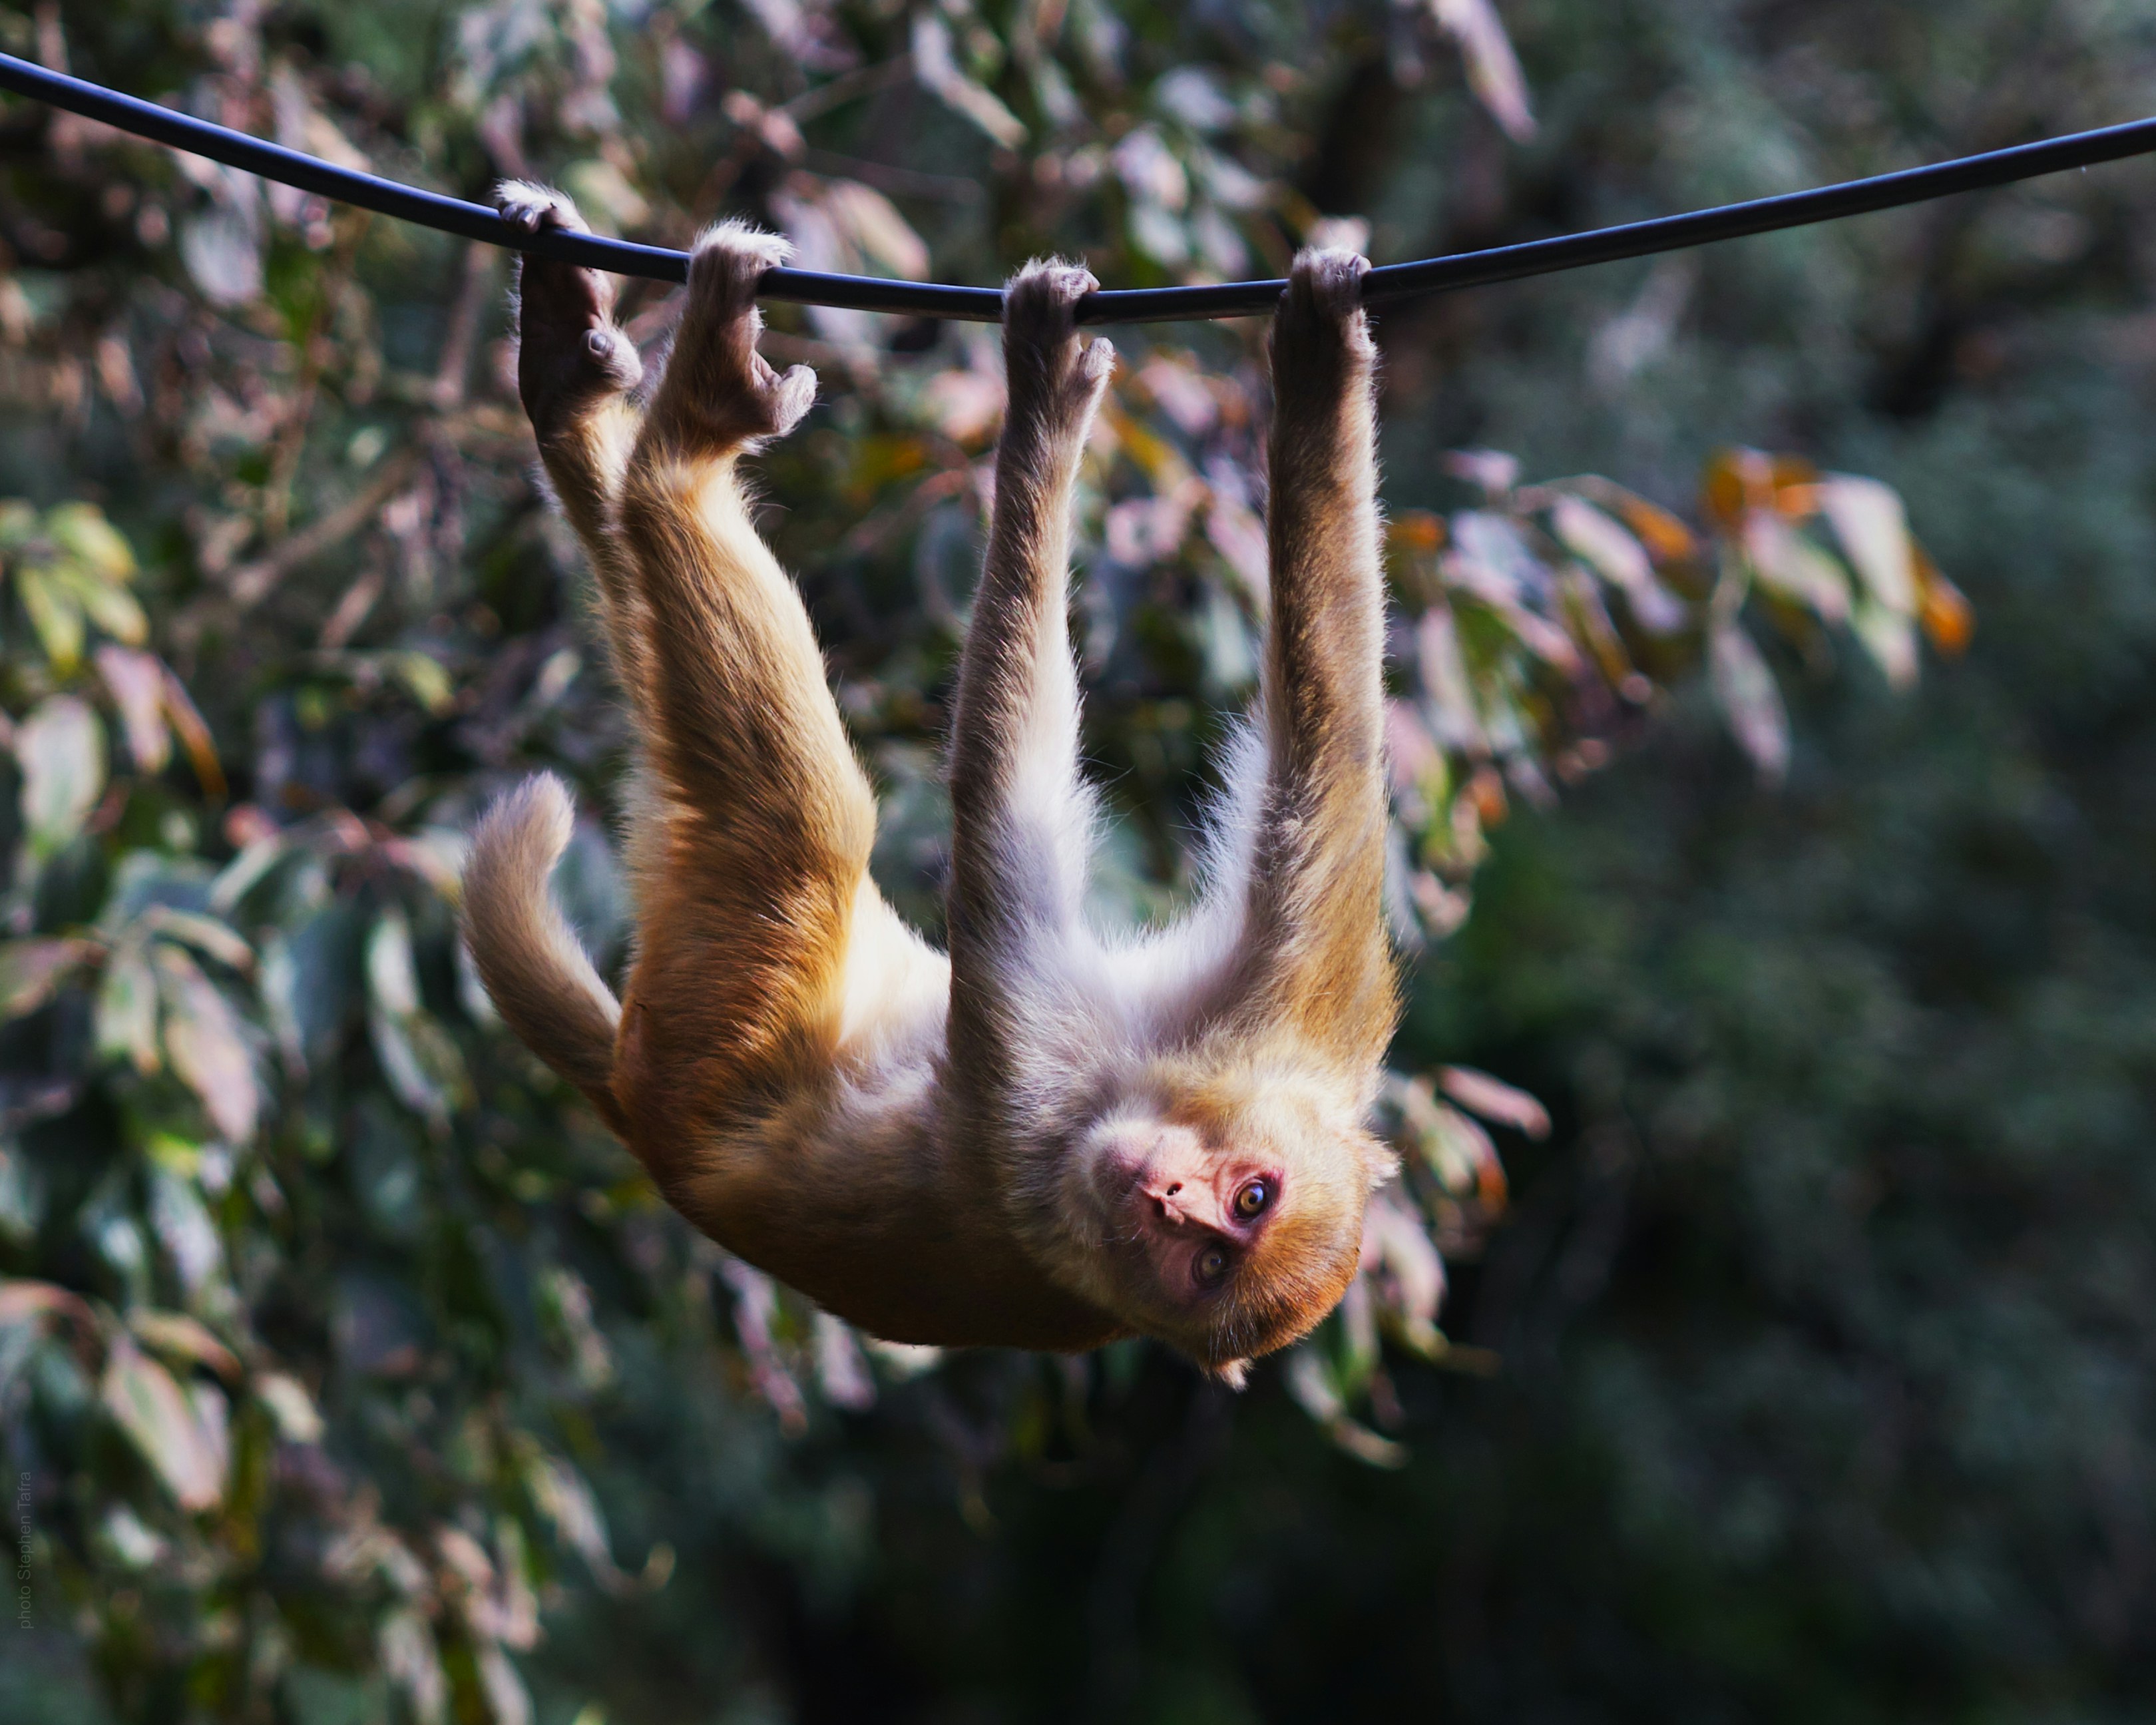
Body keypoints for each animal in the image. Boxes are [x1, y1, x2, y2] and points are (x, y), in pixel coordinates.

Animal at [462, 183, 1399, 1381]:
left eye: (1209, 1255)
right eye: (1246, 1198)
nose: (1167, 1197)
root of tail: (632, 1114)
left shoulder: (1034, 1120)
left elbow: (1001, 812)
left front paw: (1044, 395)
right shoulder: (1298, 1017)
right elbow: (1326, 758)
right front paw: (1322, 365)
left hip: (700, 1022)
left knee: (803, 821)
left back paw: (688, 436)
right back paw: (573, 386)